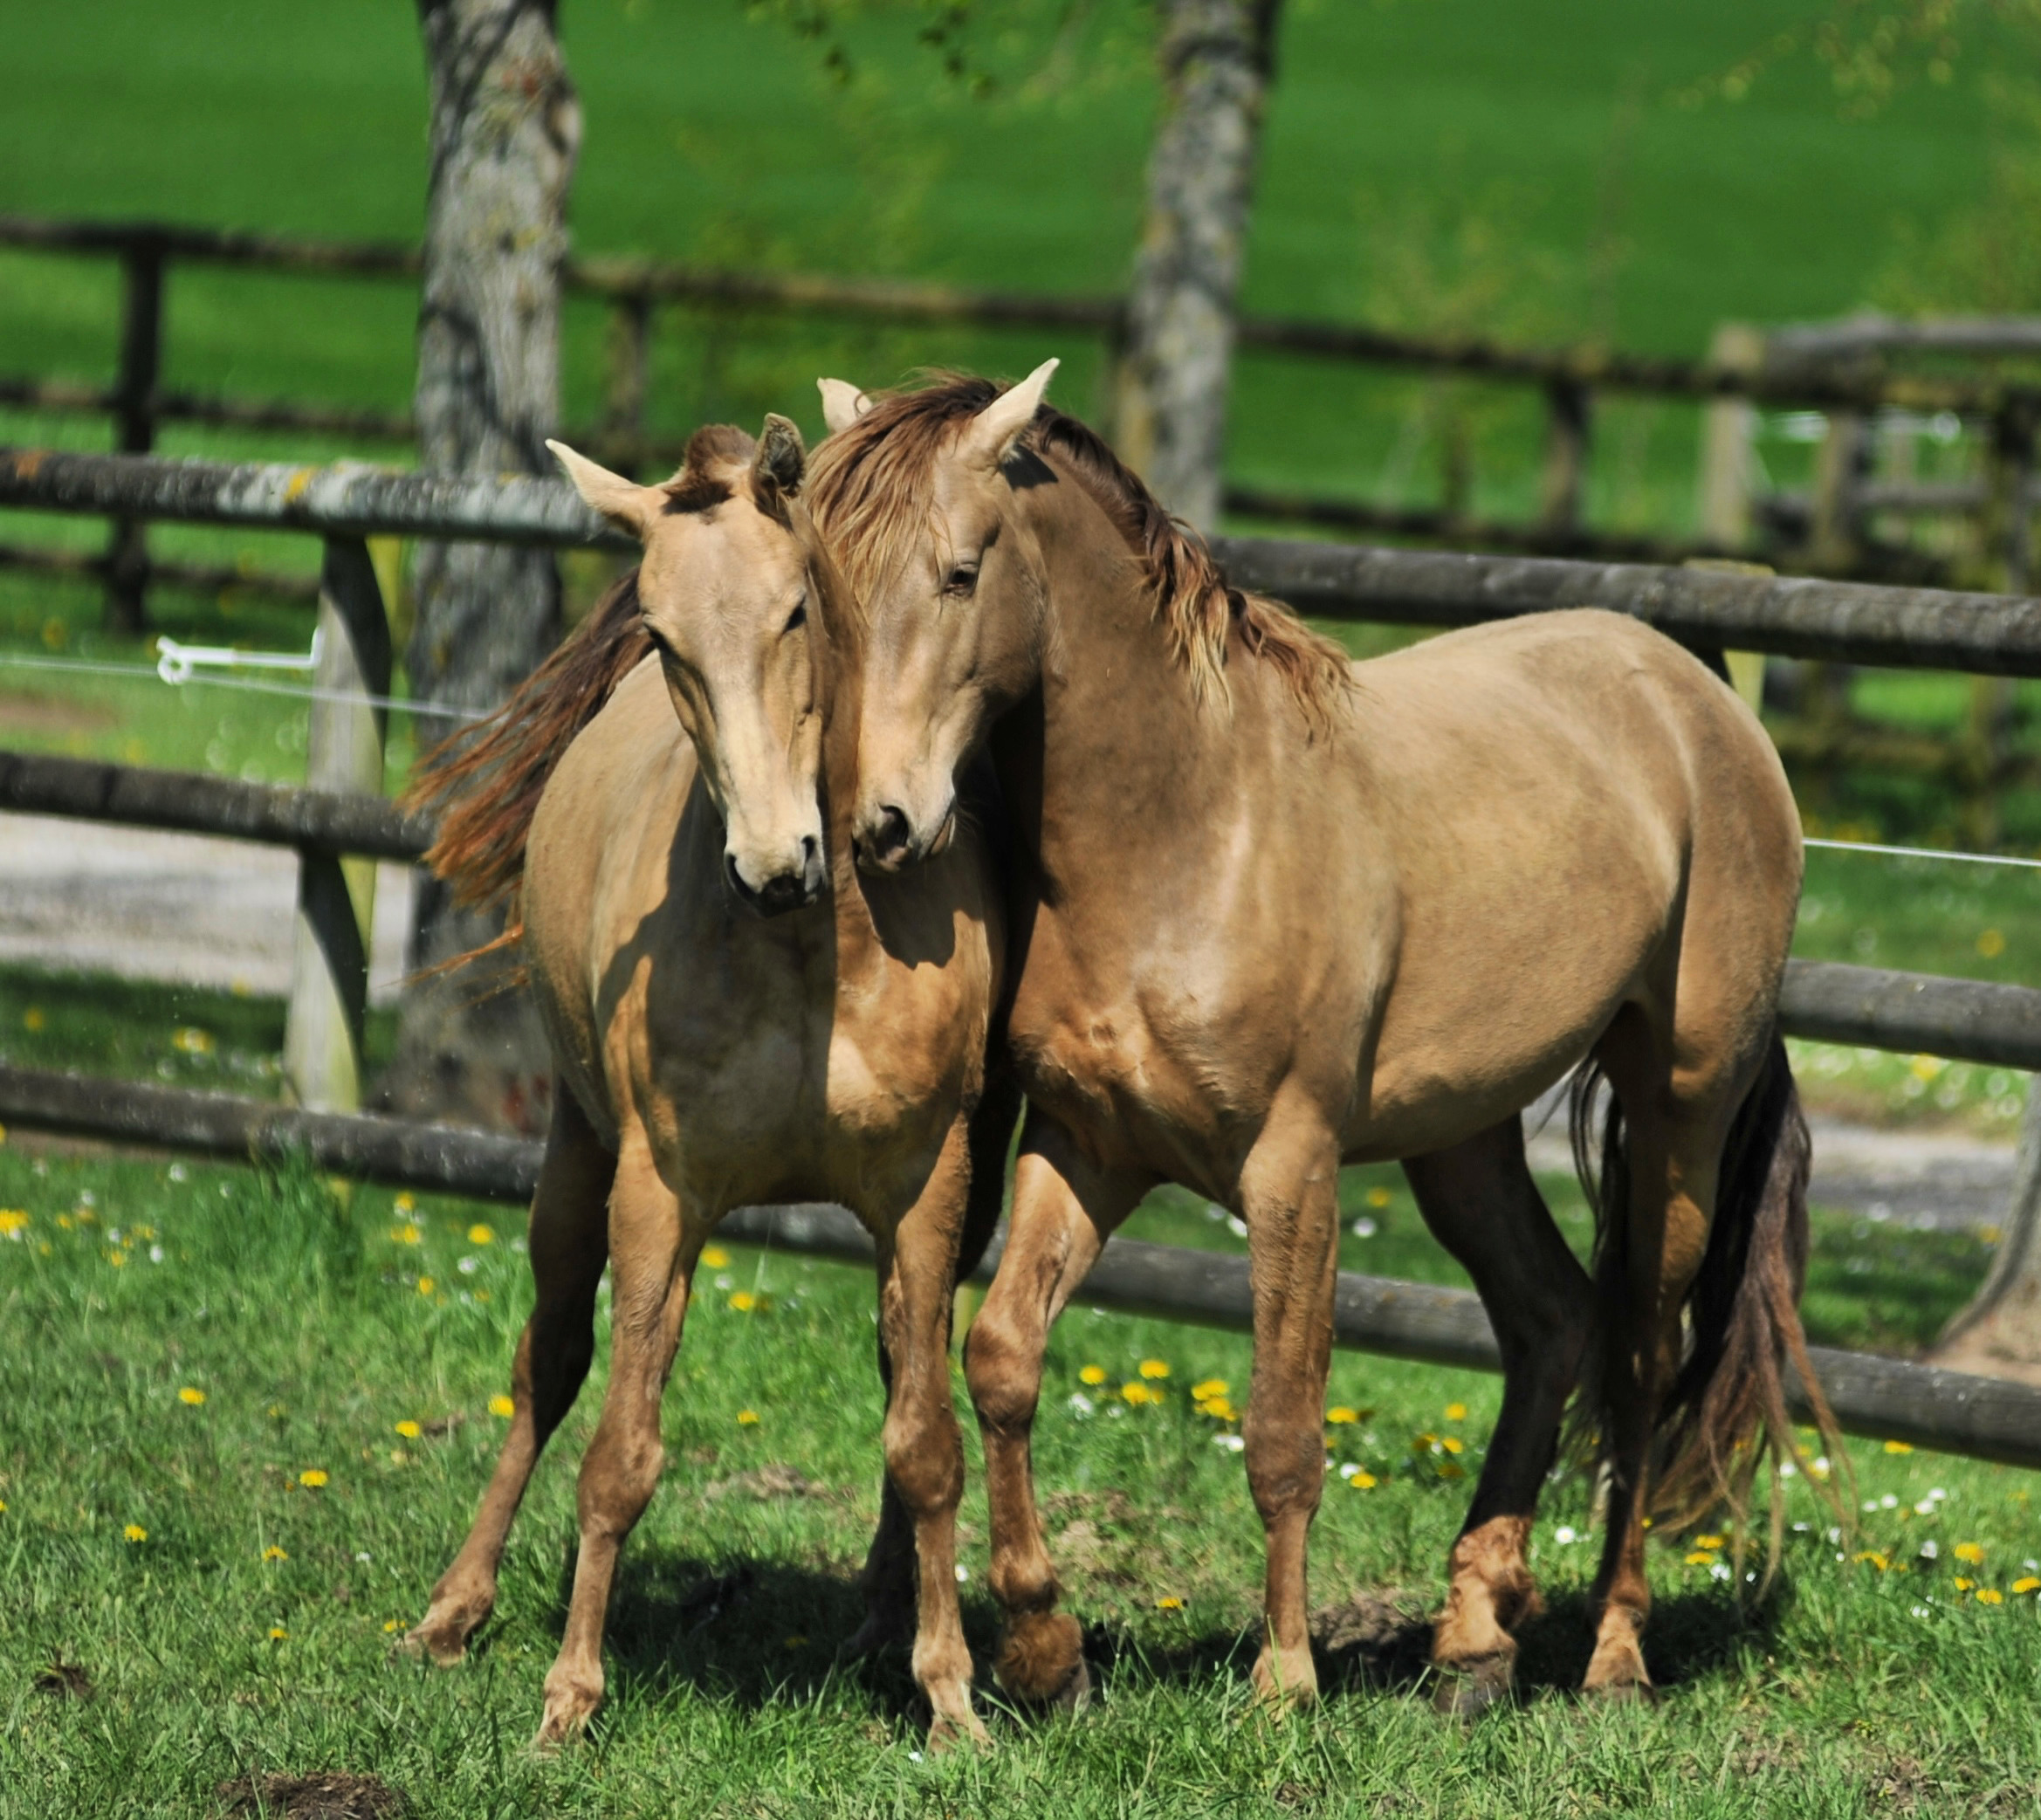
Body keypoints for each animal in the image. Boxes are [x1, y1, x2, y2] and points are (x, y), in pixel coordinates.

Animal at [397, 416, 1012, 1746]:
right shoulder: (658, 1194)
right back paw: (453, 1612)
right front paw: (569, 1700)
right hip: (575, 1167)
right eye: (663, 635)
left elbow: (926, 1444)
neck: (808, 953)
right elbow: (620, 1453)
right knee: (549, 1368)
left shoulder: (925, 1190)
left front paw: (949, 1698)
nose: (777, 862)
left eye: (797, 610)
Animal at [804, 373, 1845, 1721]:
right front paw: (1044, 1649)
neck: (1191, 826)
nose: (880, 825)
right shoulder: (1086, 1146)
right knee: (1550, 1320)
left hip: (1681, 1114)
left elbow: (1285, 1431)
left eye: (961, 571)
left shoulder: (1288, 1169)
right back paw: (1473, 1646)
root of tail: (1699, 698)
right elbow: (1000, 1360)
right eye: (820, 588)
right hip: (1462, 1136)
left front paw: (1283, 1682)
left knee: (1635, 1353)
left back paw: (1614, 1660)